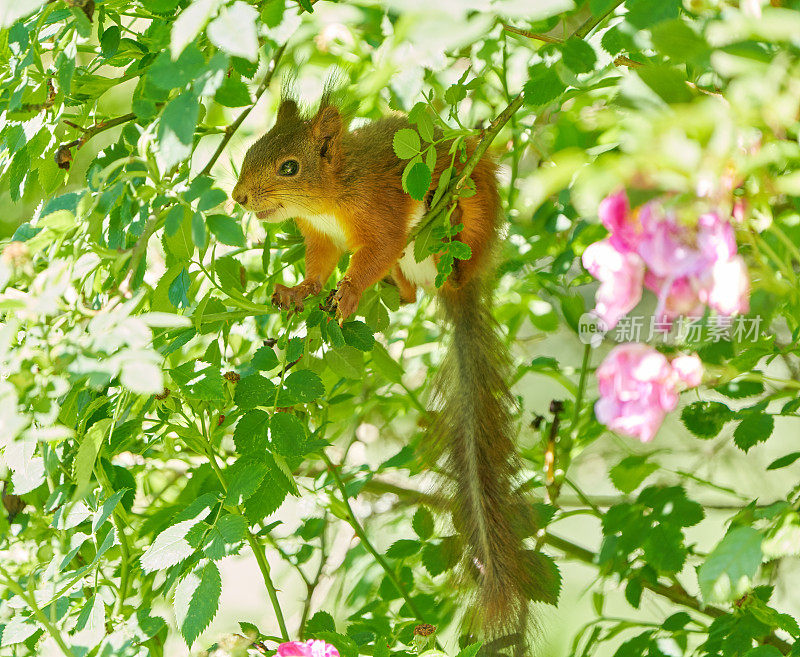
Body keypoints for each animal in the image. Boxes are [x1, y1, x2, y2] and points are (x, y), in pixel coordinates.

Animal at [234, 93, 540, 652]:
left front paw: (351, 292)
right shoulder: (320, 240)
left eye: (289, 167)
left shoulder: (379, 215)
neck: (329, 197)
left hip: (469, 219)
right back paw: (398, 289)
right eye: (248, 153)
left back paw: (447, 220)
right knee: (412, 291)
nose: (239, 197)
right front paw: (298, 292)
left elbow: (373, 251)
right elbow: (319, 267)